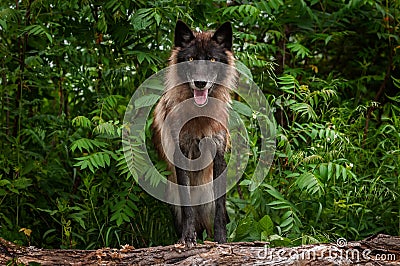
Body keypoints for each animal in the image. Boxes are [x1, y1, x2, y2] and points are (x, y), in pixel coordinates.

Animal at [152, 19, 236, 246]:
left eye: (213, 59)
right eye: (190, 59)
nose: (200, 82)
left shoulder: (219, 155)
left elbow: (220, 208)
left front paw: (221, 240)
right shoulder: (181, 154)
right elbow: (187, 207)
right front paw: (188, 238)